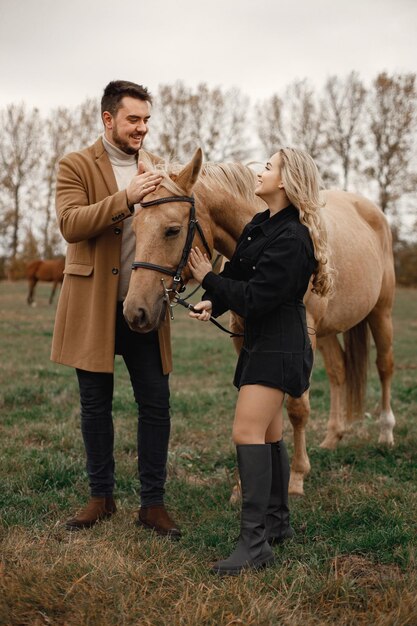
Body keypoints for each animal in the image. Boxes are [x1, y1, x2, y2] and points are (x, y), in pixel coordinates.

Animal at [122, 149, 394, 494]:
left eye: (172, 230)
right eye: (136, 226)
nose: (135, 312)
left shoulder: (302, 336)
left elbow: (297, 408)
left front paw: (296, 477)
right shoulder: (245, 336)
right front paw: (245, 484)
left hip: (380, 314)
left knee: (384, 367)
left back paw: (386, 432)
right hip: (329, 333)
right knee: (339, 372)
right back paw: (333, 437)